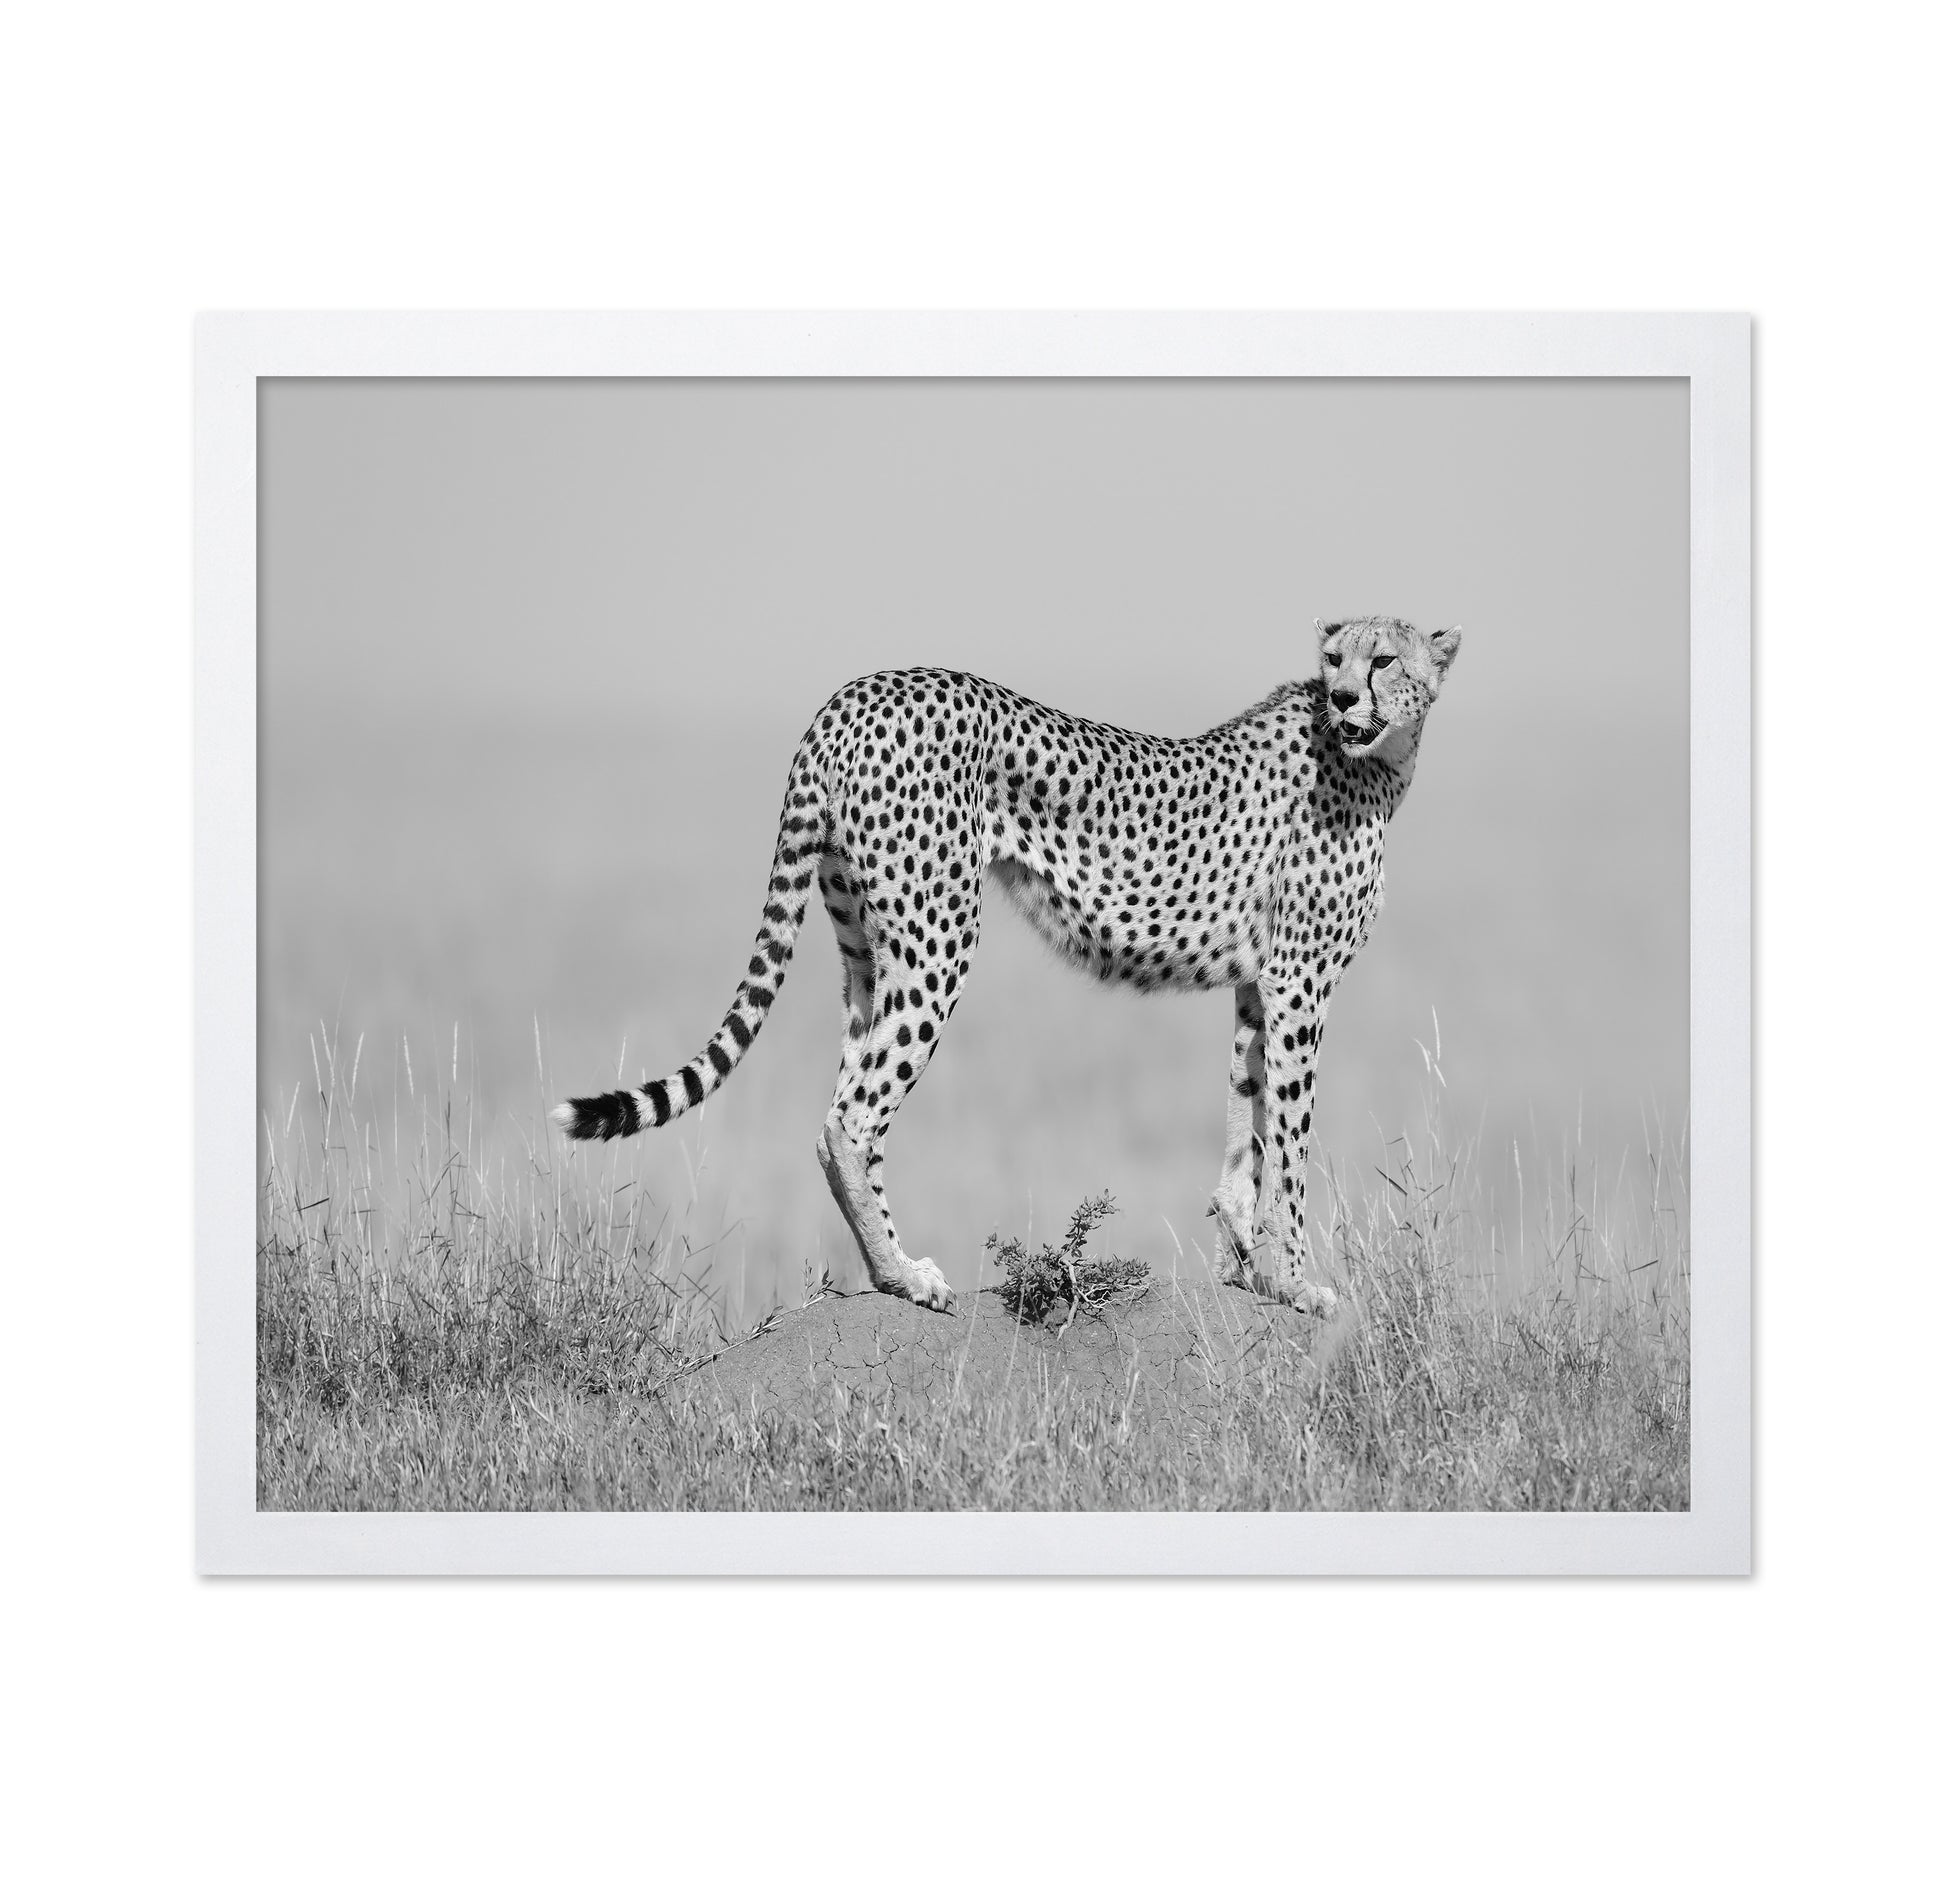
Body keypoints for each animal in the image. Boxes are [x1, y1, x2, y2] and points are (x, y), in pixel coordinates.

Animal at [554, 614, 1461, 1315]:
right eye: (1335, 660)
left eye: (1384, 660)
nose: (1343, 698)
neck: (1378, 759)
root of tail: (854, 692)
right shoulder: (1300, 984)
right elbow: (1293, 1138)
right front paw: (1299, 1281)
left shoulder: (1256, 983)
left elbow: (1249, 1120)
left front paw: (1250, 1262)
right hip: (939, 937)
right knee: (851, 1118)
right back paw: (904, 1276)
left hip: (867, 949)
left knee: (842, 1106)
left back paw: (887, 1268)